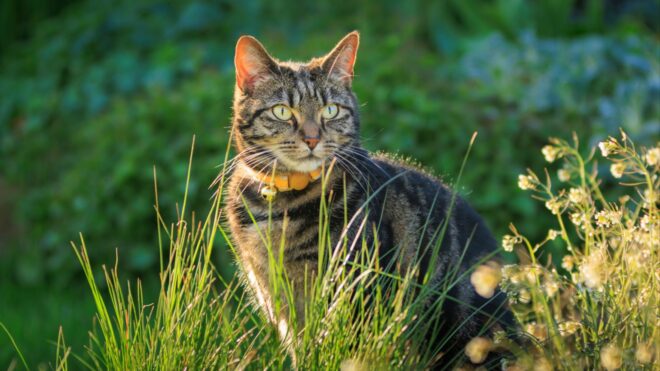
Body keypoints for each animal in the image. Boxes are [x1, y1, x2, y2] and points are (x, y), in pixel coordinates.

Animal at [226, 32, 510, 370]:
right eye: (282, 111)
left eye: (331, 110)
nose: (312, 139)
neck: (282, 204)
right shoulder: (276, 299)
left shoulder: (353, 295)